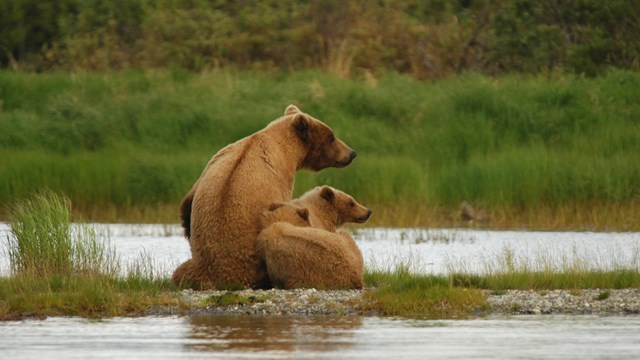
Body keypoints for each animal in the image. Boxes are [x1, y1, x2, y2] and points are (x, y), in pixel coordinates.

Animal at [172, 105, 358, 290]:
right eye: (331, 137)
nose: (352, 153)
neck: (285, 148)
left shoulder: (212, 165)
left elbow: (186, 210)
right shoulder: (281, 177)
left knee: (181, 271)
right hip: (249, 265)